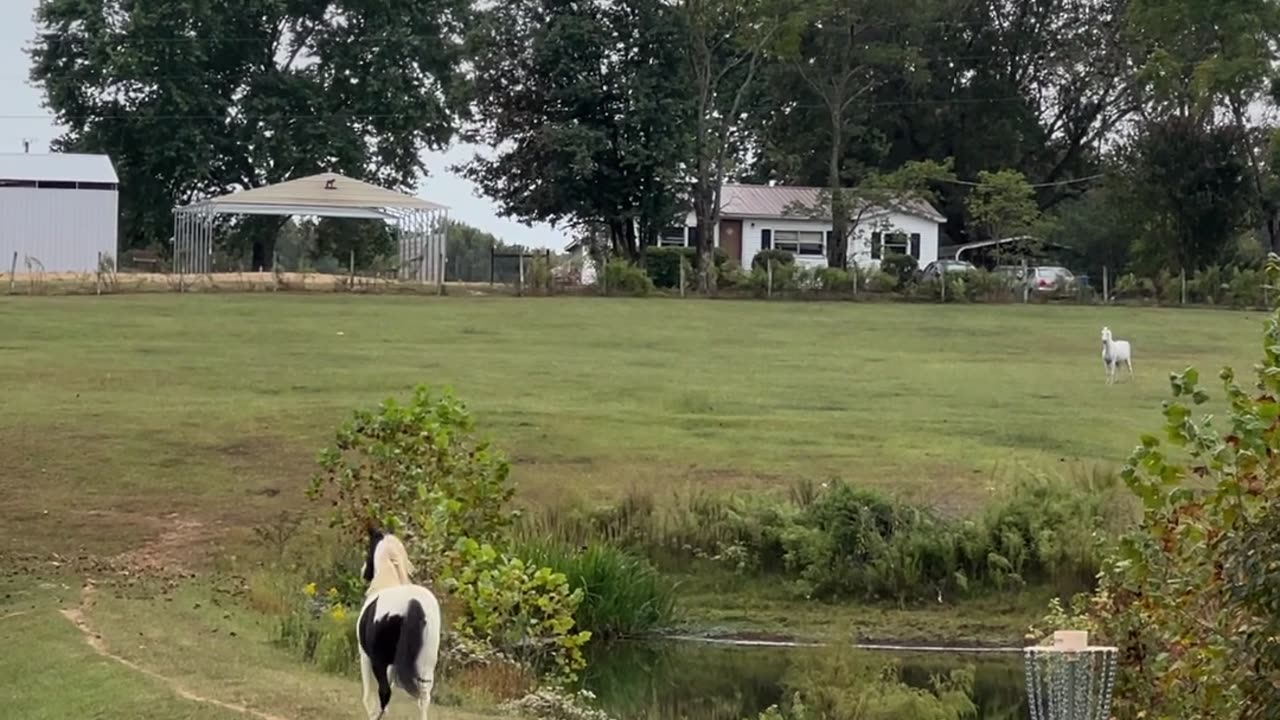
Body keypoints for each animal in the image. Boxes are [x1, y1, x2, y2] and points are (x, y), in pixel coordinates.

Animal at [358, 527, 442, 717]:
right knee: (424, 698)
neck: (386, 583)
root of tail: (413, 602)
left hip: (378, 661)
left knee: (384, 691)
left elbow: (368, 696)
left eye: (369, 547)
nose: (363, 572)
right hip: (426, 664)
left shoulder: (365, 656)